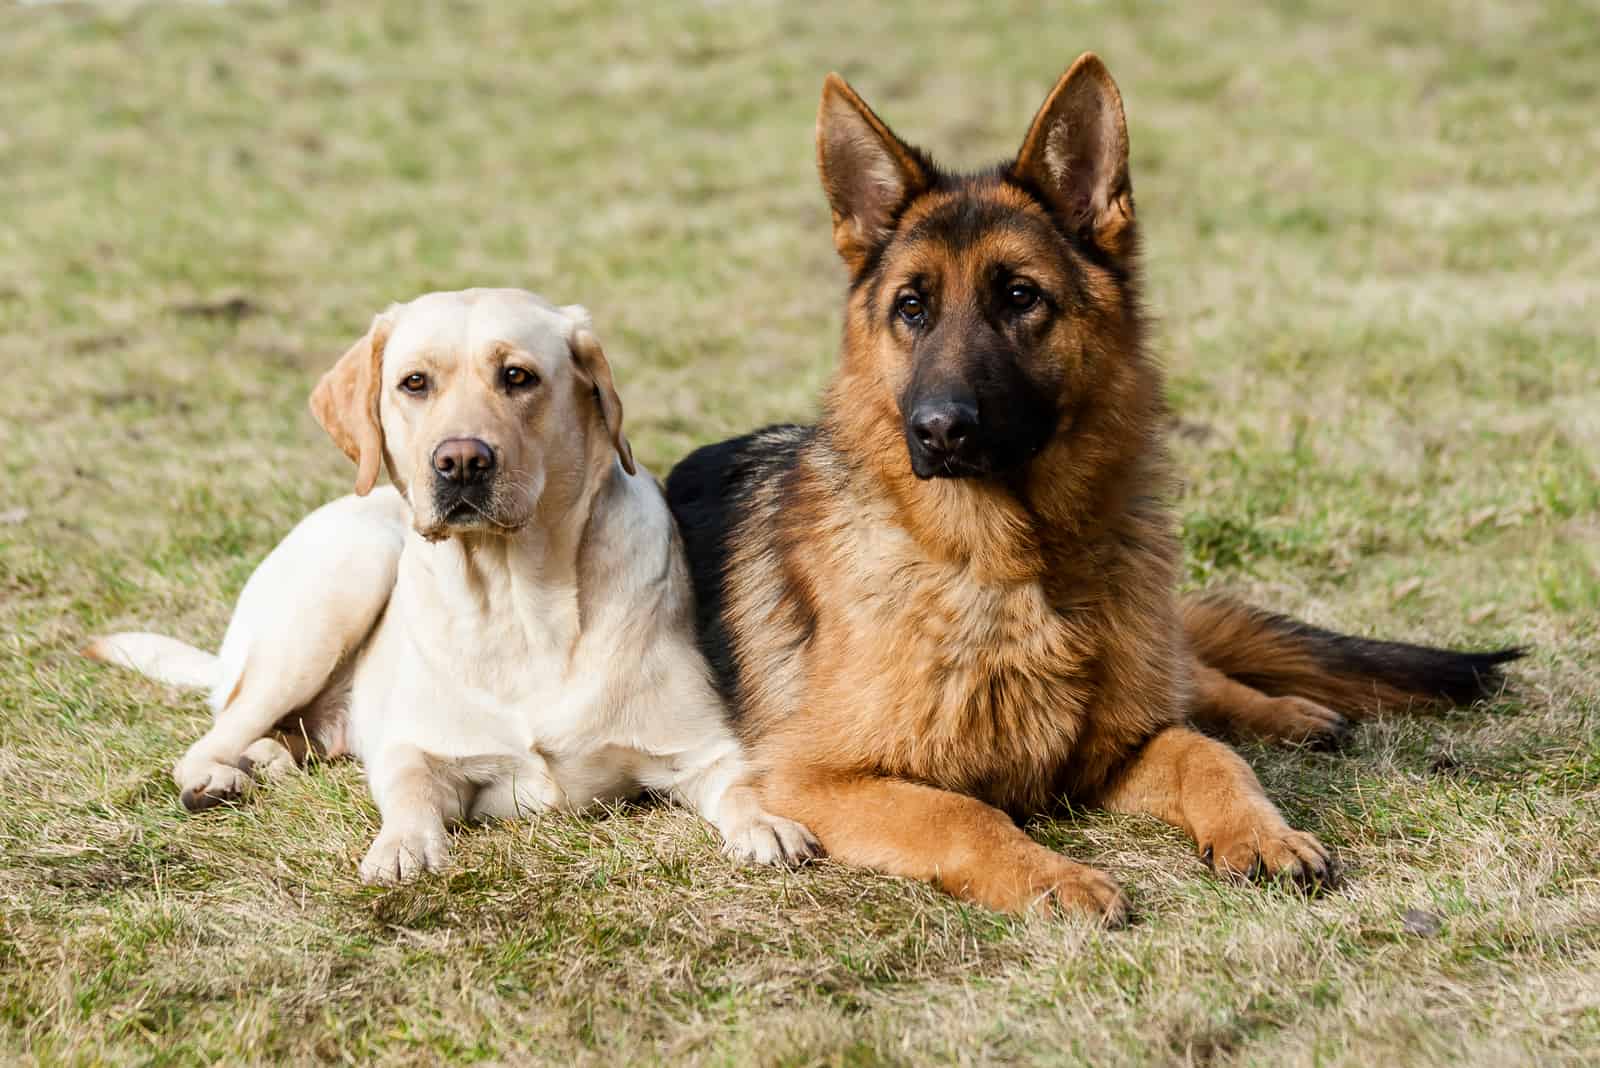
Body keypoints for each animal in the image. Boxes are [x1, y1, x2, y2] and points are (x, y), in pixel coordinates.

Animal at [665, 54, 1523, 920]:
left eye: (1020, 296)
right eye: (911, 306)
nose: (939, 431)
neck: (1013, 569)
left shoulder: (1122, 747)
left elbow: (1208, 757)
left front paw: (1263, 833)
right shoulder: (819, 781)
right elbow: (962, 814)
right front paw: (1054, 877)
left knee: (1196, 685)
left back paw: (1292, 713)